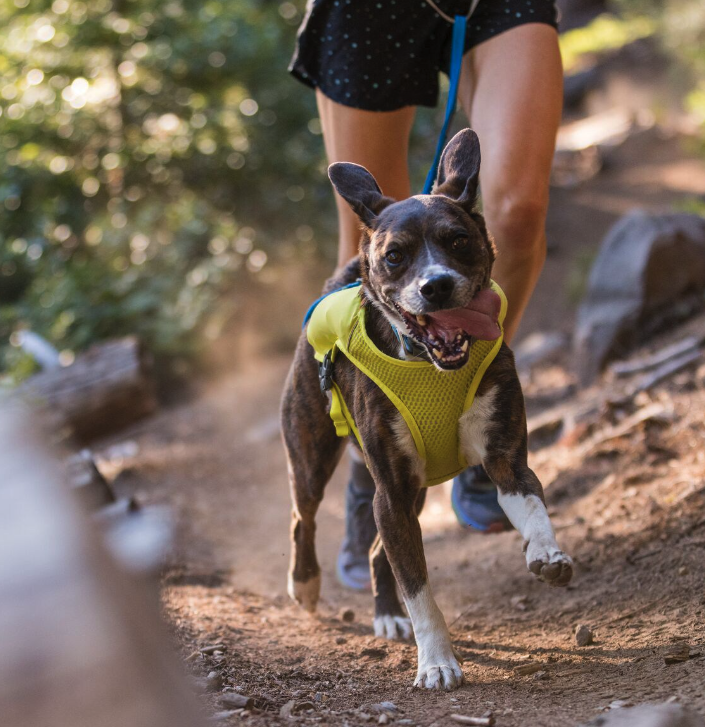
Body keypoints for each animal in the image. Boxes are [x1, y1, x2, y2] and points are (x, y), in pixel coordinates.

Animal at [280, 129, 572, 692]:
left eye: (456, 239)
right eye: (396, 255)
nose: (435, 285)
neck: (433, 367)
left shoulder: (505, 459)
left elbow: (531, 506)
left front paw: (546, 552)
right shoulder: (390, 492)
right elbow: (419, 590)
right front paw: (436, 661)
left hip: (412, 490)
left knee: (376, 551)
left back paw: (387, 615)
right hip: (313, 453)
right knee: (303, 516)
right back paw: (305, 583)